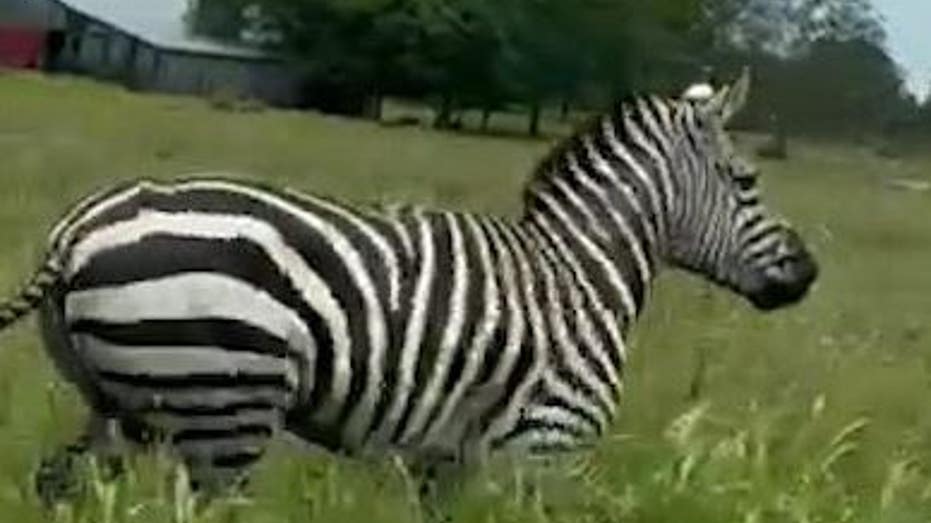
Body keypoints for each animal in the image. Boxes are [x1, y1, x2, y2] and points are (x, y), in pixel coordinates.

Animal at [0, 69, 816, 502]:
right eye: (747, 180)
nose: (806, 273)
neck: (582, 269)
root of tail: (81, 226)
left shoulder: (449, 464)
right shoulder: (544, 450)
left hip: (121, 406)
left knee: (61, 486)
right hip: (225, 411)